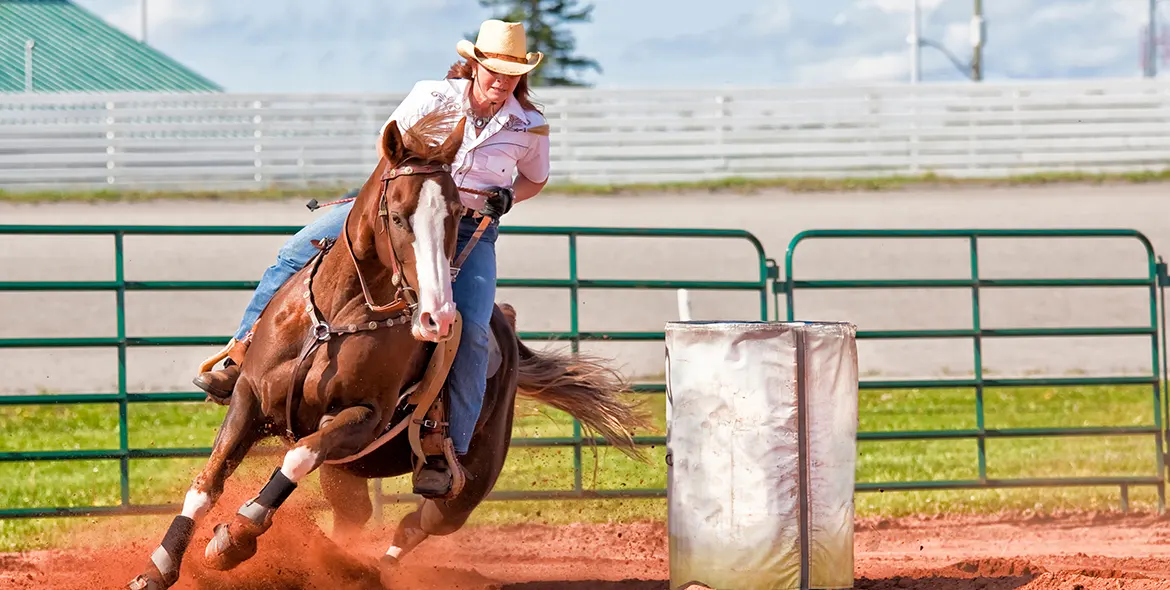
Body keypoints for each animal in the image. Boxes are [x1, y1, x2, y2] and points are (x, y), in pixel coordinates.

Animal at [128, 107, 650, 590]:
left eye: (456, 215)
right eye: (398, 216)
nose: (437, 316)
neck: (333, 320)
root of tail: (507, 325)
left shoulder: (363, 419)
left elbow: (297, 456)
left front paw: (235, 538)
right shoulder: (249, 399)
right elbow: (208, 481)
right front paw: (158, 568)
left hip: (466, 484)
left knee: (419, 522)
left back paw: (369, 568)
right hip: (348, 474)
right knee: (355, 517)